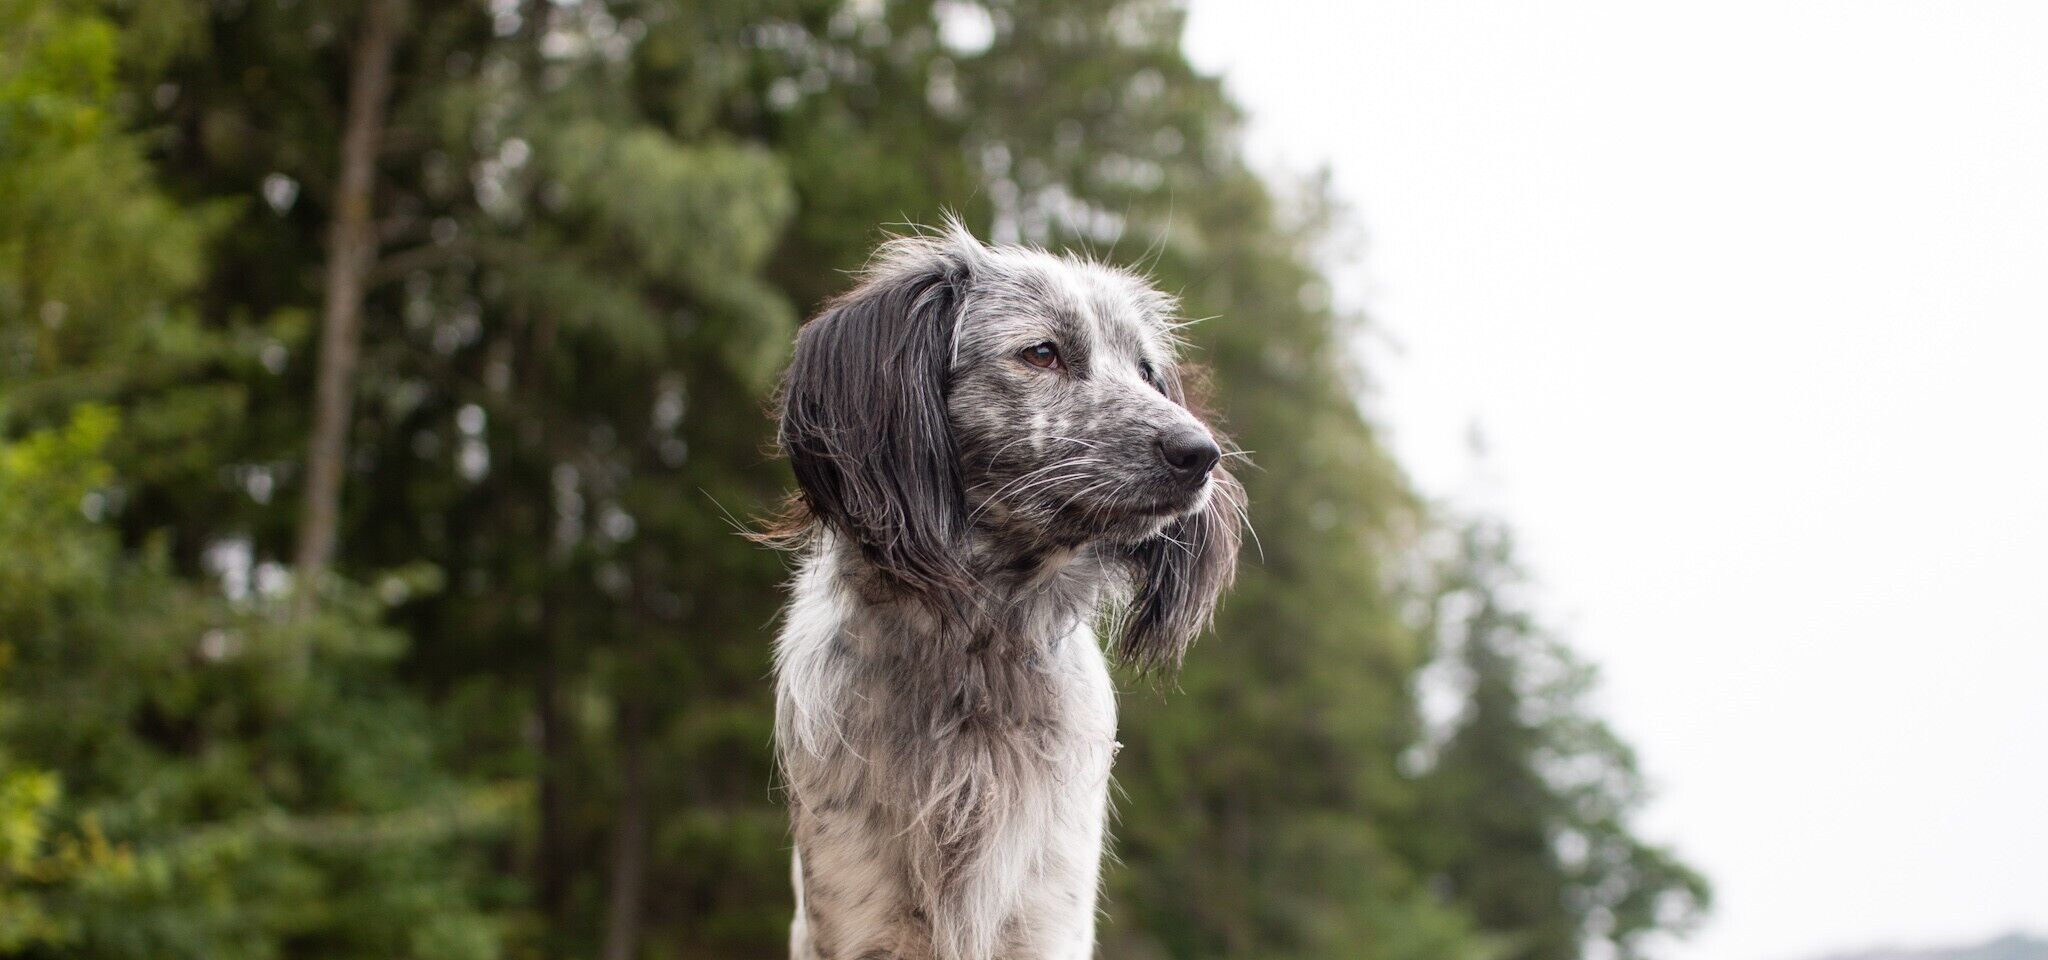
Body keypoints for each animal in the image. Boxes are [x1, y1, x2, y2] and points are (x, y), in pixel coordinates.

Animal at [770, 223, 1245, 957]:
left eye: (1145, 371)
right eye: (1042, 353)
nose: (1201, 455)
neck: (977, 650)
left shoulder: (1045, 915)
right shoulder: (859, 914)